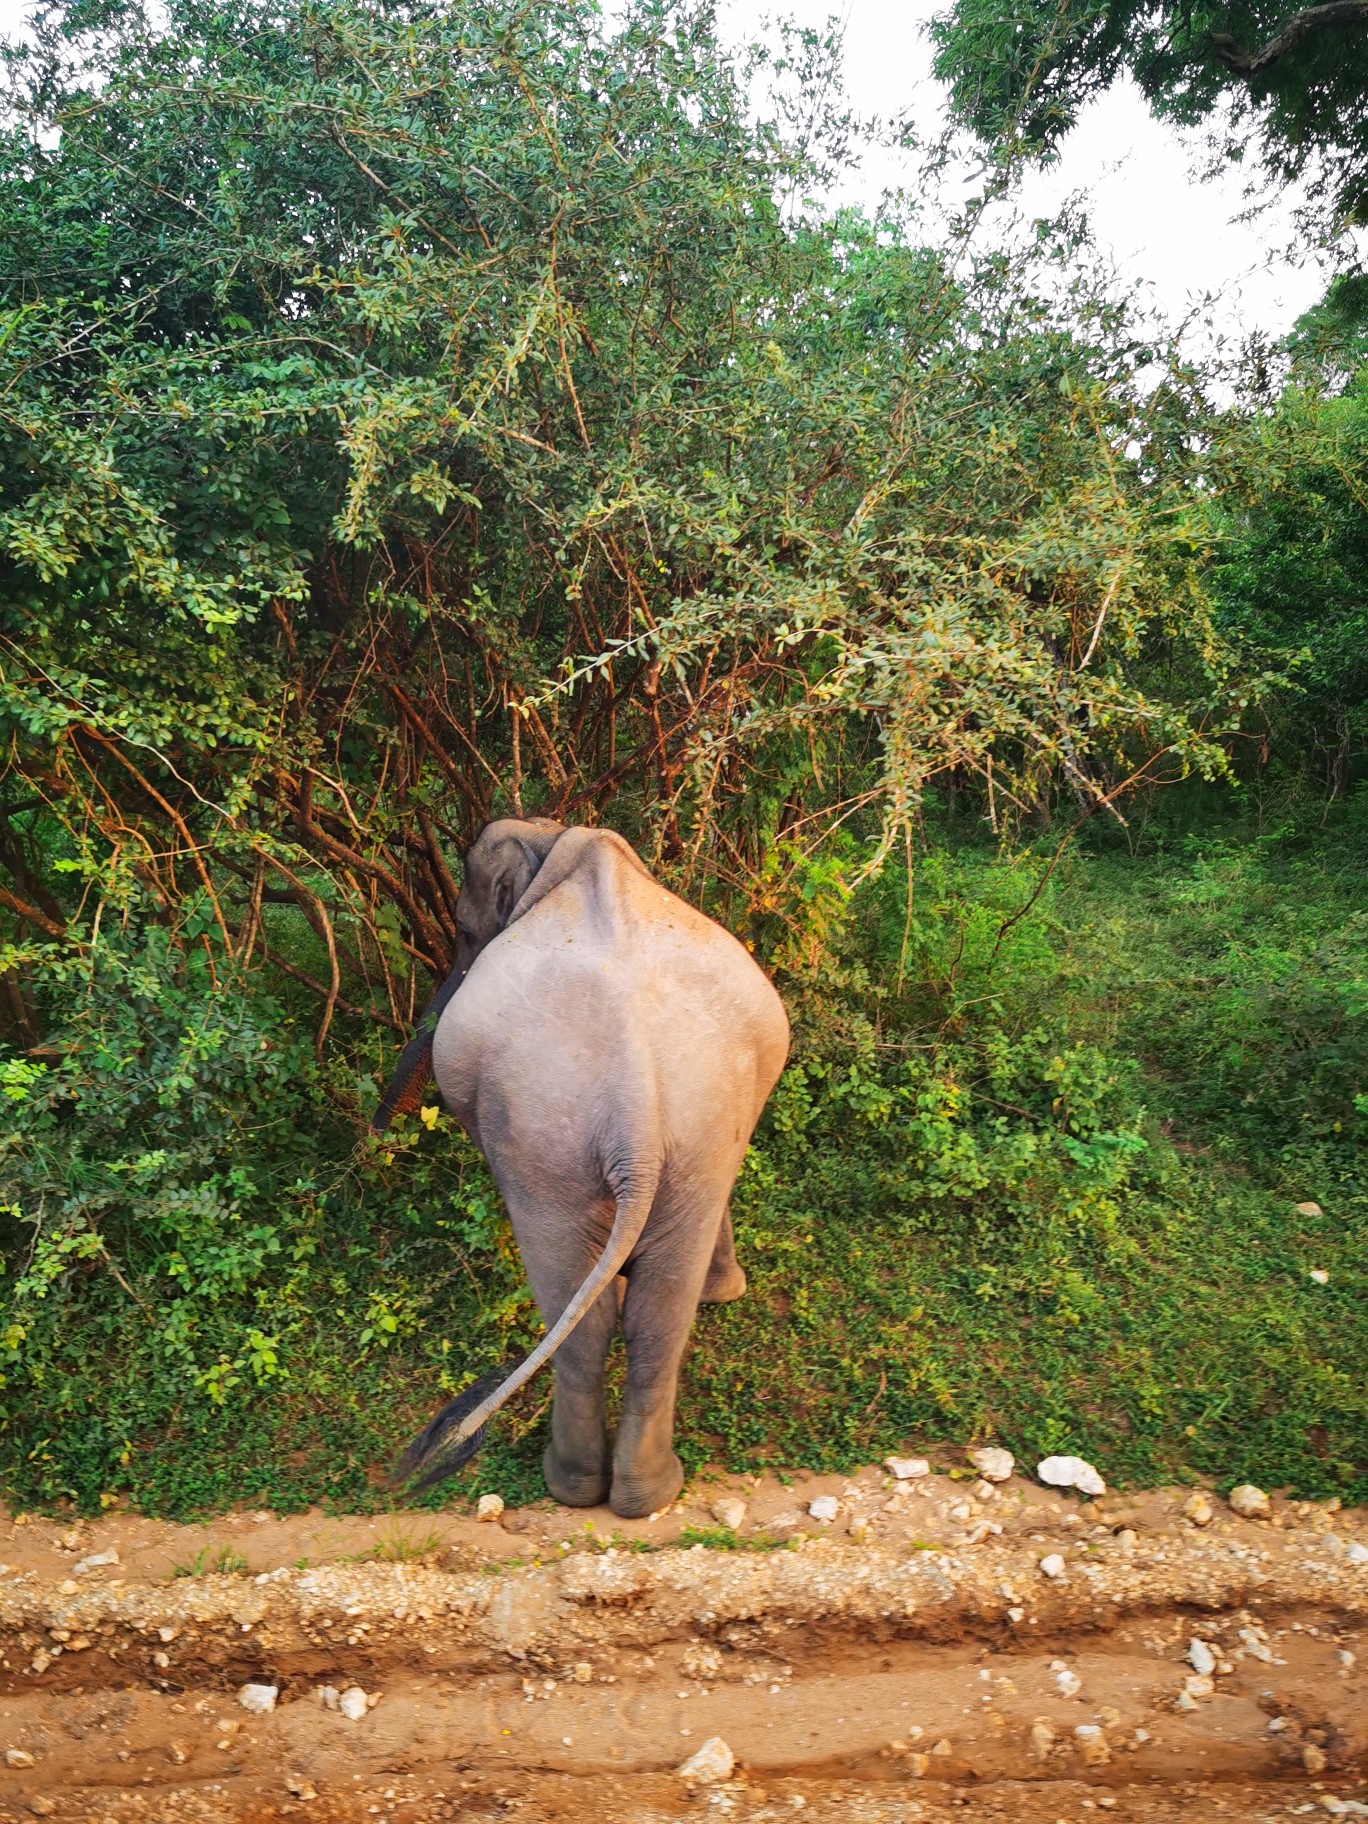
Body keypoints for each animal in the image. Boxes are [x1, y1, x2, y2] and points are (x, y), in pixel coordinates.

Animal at [375, 820, 791, 1517]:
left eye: (462, 931)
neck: (558, 839)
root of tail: (635, 1111)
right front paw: (718, 1292)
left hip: (553, 1143)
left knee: (588, 1317)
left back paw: (576, 1484)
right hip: (674, 1132)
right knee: (653, 1322)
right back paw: (638, 1493)